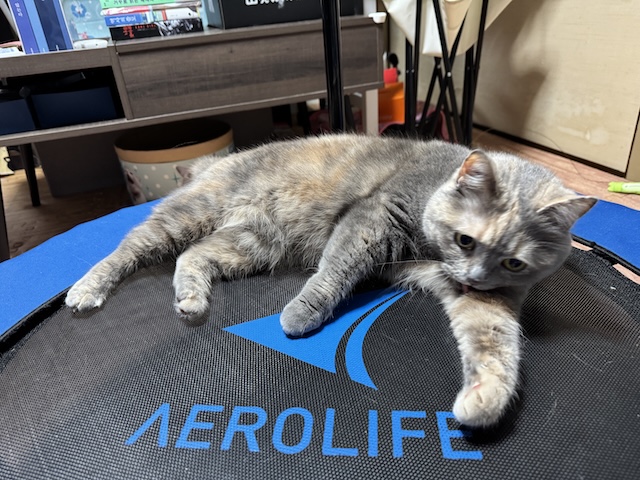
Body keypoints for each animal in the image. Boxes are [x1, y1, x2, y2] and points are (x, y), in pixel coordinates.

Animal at [65, 134, 596, 428]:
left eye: (514, 264)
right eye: (466, 240)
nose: (476, 276)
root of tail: (217, 161)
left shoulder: (486, 302)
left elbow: (496, 344)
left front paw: (485, 399)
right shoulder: (372, 218)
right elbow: (335, 271)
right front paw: (302, 314)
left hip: (251, 244)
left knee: (193, 257)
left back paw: (192, 300)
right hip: (190, 215)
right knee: (130, 247)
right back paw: (87, 289)